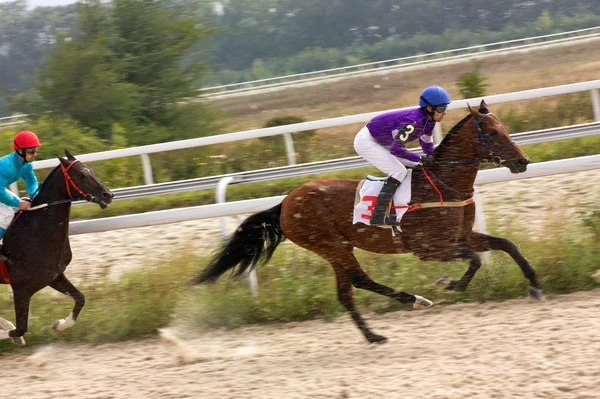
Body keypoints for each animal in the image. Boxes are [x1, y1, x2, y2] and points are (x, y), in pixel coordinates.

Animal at [0, 150, 112, 344]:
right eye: (81, 175)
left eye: (91, 170)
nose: (108, 195)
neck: (34, 232)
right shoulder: (21, 288)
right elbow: (21, 328)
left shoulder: (54, 276)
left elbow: (80, 299)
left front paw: (58, 325)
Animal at [193, 102, 544, 344]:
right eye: (494, 133)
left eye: (506, 127)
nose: (523, 161)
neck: (445, 185)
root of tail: (286, 202)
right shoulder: (430, 248)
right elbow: (474, 260)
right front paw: (450, 284)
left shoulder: (463, 235)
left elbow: (506, 245)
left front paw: (535, 286)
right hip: (331, 245)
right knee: (360, 280)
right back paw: (414, 301)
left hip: (336, 248)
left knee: (346, 293)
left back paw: (374, 335)